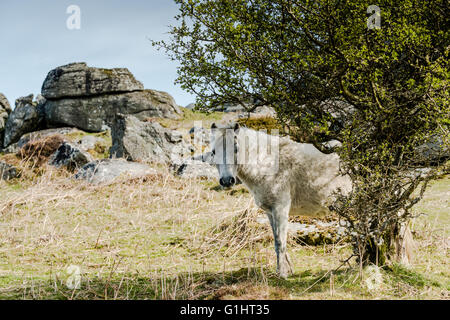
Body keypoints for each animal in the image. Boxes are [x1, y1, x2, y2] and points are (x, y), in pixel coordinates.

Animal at [209, 122, 354, 278]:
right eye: (214, 152)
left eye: (236, 149)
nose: (226, 181)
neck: (269, 163)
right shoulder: (270, 212)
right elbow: (276, 241)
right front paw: (287, 269)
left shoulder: (280, 209)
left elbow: (280, 241)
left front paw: (282, 274)